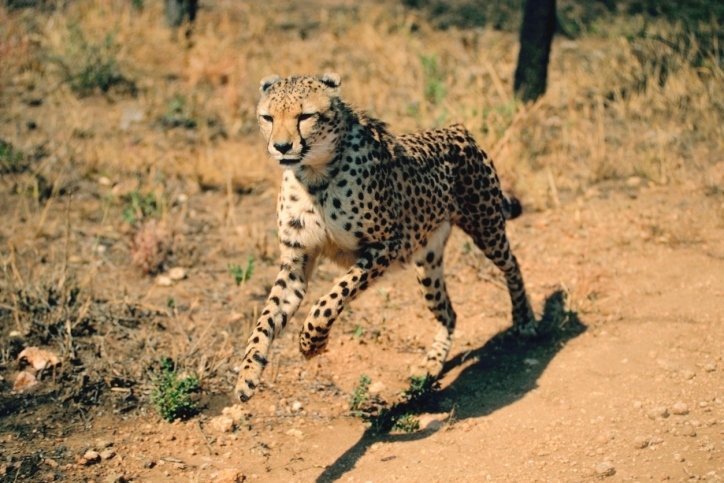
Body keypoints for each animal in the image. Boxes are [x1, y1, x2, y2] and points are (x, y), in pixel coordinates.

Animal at [235, 72, 538, 402]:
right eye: (268, 117)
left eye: (305, 116)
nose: (281, 146)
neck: (316, 174)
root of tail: (457, 129)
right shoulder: (295, 263)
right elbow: (266, 318)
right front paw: (248, 373)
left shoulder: (387, 245)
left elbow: (330, 300)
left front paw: (312, 343)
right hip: (428, 262)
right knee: (449, 313)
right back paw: (431, 364)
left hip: (487, 226)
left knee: (512, 264)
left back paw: (525, 320)